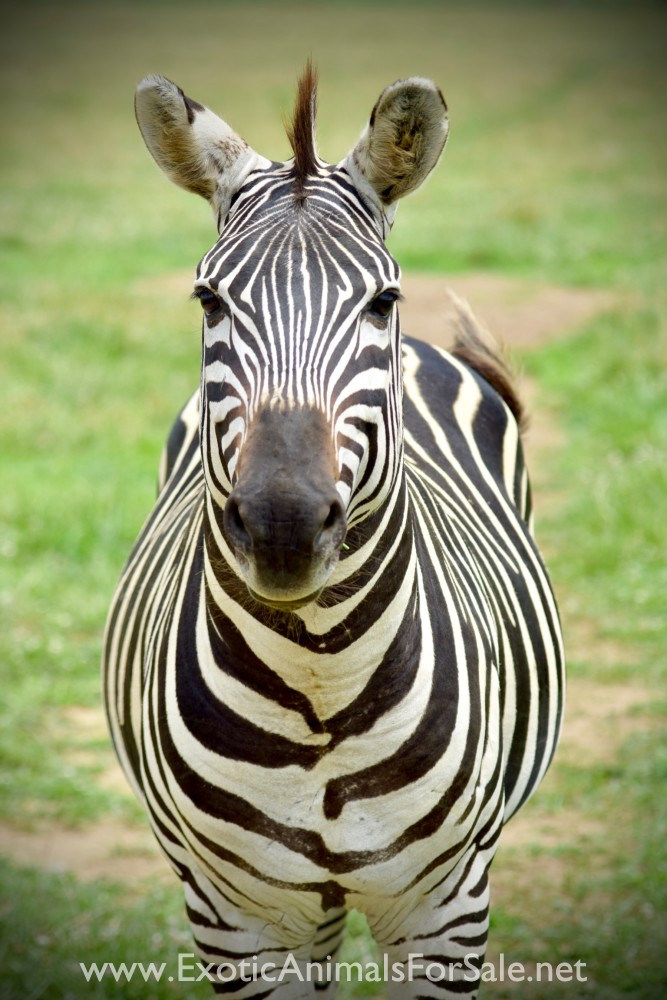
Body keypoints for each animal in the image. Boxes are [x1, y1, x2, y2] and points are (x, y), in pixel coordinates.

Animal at [103, 65, 564, 998]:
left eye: (382, 299)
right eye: (208, 298)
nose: (281, 525)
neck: (318, 682)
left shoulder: (444, 914)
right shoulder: (237, 922)